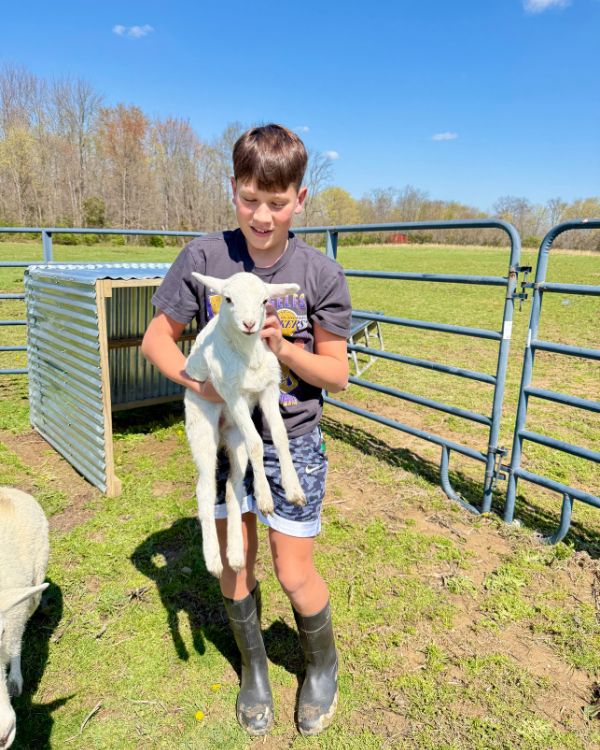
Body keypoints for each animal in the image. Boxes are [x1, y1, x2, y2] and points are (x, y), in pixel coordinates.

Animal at [184, 271, 306, 577]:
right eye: (227, 299)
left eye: (264, 301)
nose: (250, 324)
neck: (249, 355)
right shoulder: (232, 393)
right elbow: (257, 443)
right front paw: (264, 498)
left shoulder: (268, 389)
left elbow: (279, 435)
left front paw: (294, 489)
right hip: (201, 426)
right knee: (205, 489)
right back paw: (214, 560)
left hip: (234, 434)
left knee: (231, 487)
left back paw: (237, 556)